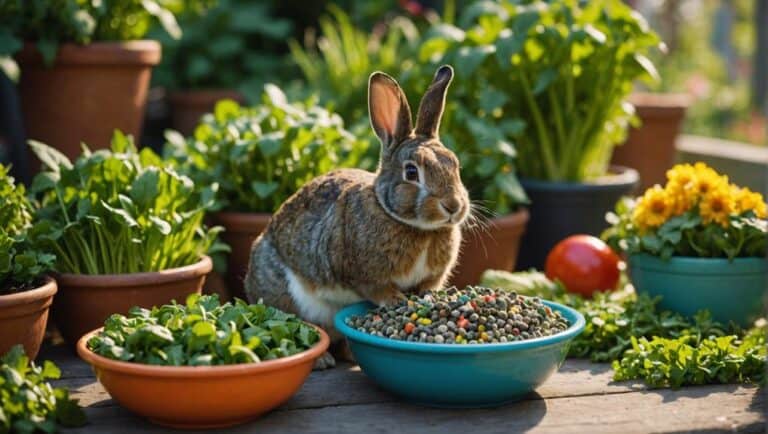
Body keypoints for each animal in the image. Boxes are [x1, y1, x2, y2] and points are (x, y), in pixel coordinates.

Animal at [244, 65, 470, 369]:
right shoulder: (358, 272)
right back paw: (322, 360)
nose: (453, 205)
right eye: (411, 172)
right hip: (286, 295)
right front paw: (395, 301)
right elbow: (376, 289)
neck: (414, 225)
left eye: (455, 165)